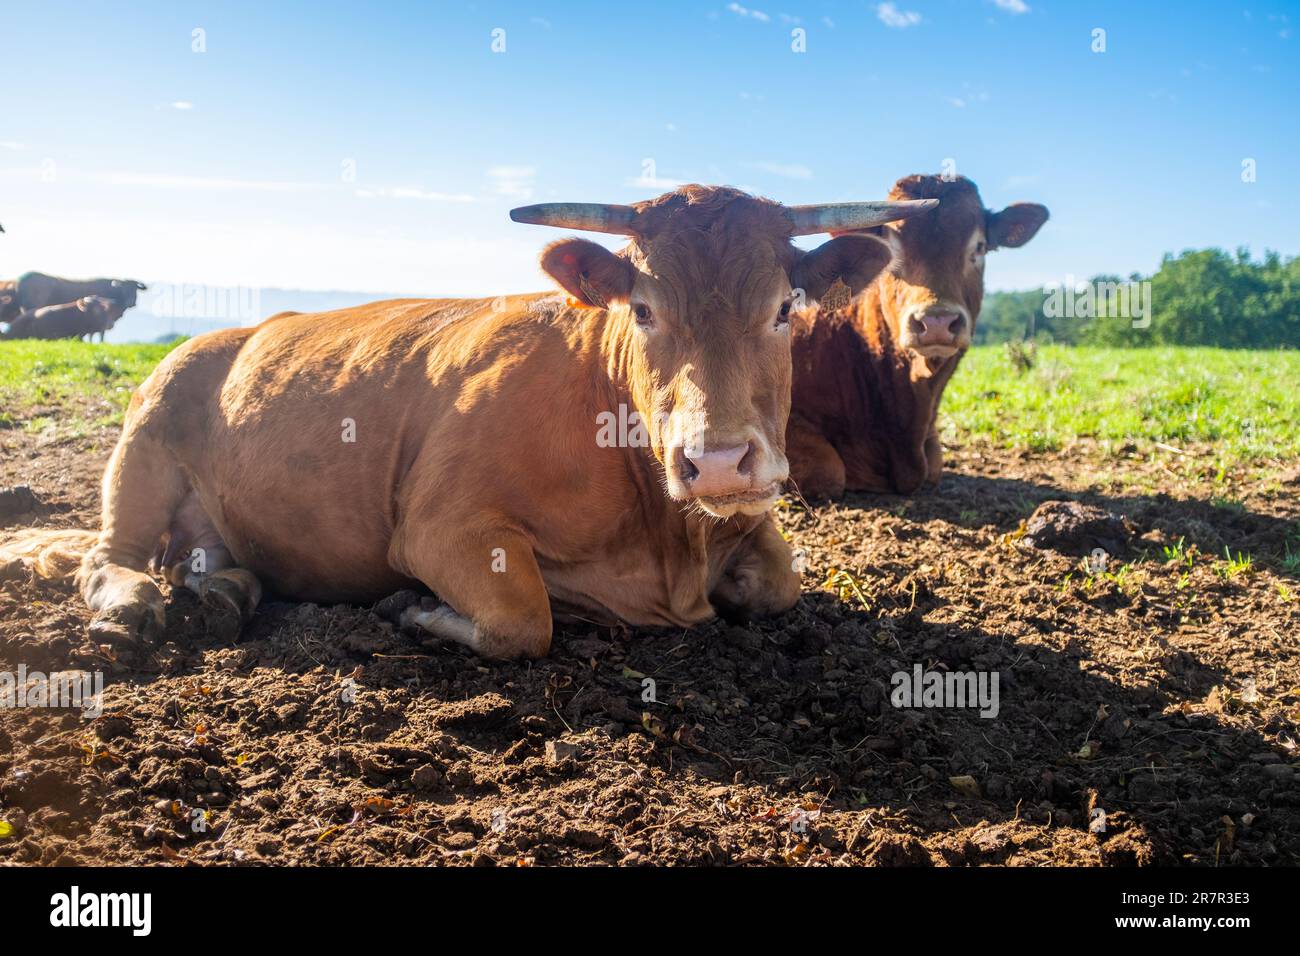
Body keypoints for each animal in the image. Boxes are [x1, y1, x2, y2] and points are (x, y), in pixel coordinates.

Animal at [0, 185, 934, 659]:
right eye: (642, 309)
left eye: (786, 308)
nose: (716, 463)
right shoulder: (440, 523)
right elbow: (523, 618)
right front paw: (417, 611)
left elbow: (779, 582)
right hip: (145, 440)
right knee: (110, 554)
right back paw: (133, 606)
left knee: (205, 559)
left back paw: (224, 590)